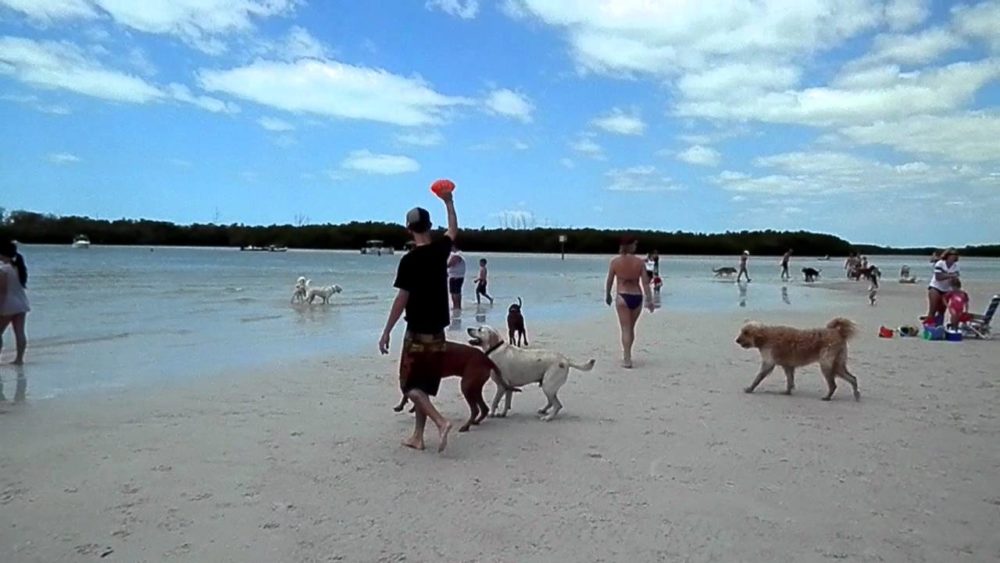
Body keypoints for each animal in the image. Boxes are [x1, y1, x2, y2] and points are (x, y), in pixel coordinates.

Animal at [466, 324, 596, 420]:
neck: (495, 348)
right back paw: (544, 410)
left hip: (548, 386)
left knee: (558, 405)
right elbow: (507, 402)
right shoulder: (508, 387)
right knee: (552, 402)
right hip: (548, 386)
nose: (468, 328)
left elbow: (494, 401)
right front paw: (503, 414)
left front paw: (491, 413)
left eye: (480, 329)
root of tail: (565, 359)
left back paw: (548, 418)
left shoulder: (501, 386)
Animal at [732, 318, 864, 400]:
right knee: (852, 378)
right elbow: (790, 380)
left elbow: (758, 378)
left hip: (826, 365)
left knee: (833, 384)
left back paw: (828, 397)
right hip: (837, 364)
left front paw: (750, 388)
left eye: (746, 332)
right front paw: (788, 391)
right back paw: (856, 394)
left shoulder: (768, 363)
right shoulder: (788, 366)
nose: (736, 340)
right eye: (742, 331)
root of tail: (837, 332)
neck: (765, 336)